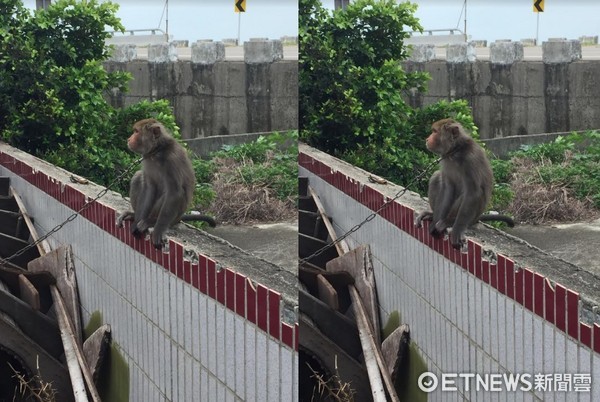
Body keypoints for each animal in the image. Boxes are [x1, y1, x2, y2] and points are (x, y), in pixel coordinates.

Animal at [116, 118, 217, 248]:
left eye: (136, 131)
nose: (129, 139)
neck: (157, 151)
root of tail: (178, 219)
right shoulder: (146, 160)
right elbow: (149, 187)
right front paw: (136, 222)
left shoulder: (171, 161)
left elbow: (174, 192)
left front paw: (158, 230)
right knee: (138, 176)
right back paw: (134, 215)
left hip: (174, 216)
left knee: (172, 194)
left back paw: (151, 221)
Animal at [414, 118, 512, 248]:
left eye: (434, 131)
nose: (427, 139)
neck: (455, 152)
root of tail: (476, 219)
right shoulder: (445, 160)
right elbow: (447, 187)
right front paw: (434, 222)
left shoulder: (470, 160)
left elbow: (473, 192)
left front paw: (457, 230)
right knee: (436, 176)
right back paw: (432, 215)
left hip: (472, 216)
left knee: (471, 194)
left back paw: (449, 221)